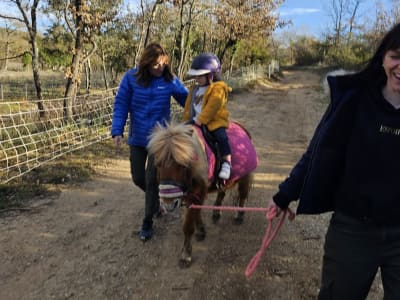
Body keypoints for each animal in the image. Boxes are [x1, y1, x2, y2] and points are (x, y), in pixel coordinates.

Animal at [148, 121, 258, 268]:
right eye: (158, 164)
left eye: (183, 165)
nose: (168, 204)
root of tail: (241, 127)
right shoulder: (190, 195)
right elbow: (196, 213)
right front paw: (201, 231)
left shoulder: (198, 192)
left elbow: (188, 226)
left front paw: (186, 255)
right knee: (222, 193)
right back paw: (216, 213)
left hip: (245, 176)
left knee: (242, 195)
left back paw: (239, 215)